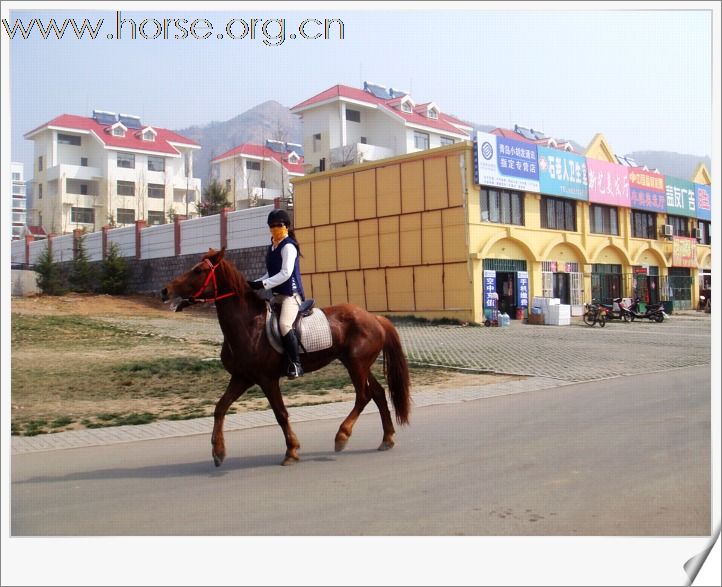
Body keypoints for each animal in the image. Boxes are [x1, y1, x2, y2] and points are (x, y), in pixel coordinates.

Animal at [162, 248, 410, 468]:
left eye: (198, 271)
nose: (165, 290)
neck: (249, 325)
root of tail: (375, 318)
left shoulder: (267, 379)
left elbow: (280, 414)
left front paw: (291, 451)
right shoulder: (242, 378)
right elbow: (220, 408)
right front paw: (218, 452)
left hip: (356, 366)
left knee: (364, 396)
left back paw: (342, 436)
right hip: (358, 365)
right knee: (378, 394)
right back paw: (387, 439)